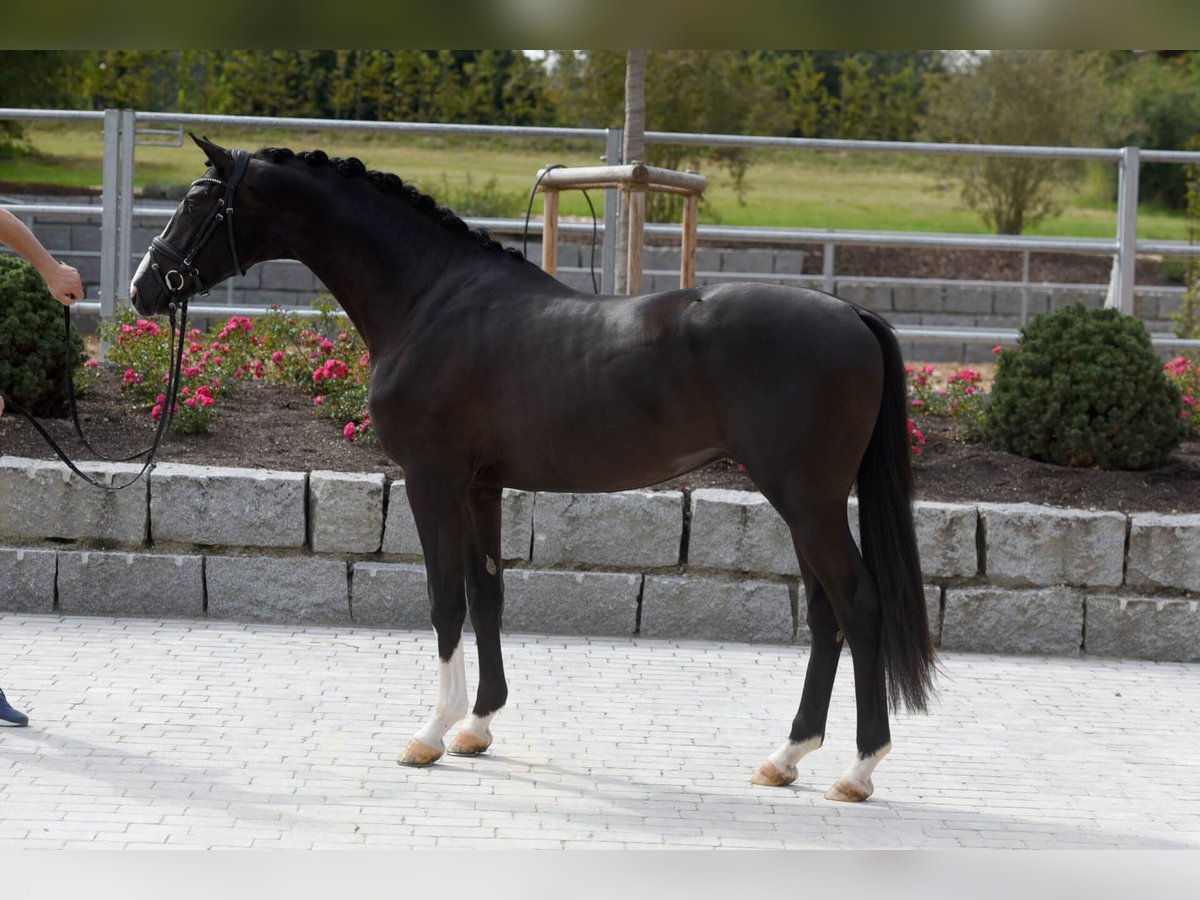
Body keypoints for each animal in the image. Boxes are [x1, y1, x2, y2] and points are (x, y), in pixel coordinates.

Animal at [133, 135, 936, 801]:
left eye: (199, 202)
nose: (145, 288)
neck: (431, 301)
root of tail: (850, 315)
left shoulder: (431, 479)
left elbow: (444, 599)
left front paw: (429, 734)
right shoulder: (482, 486)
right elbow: (487, 594)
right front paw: (477, 726)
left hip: (807, 500)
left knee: (858, 605)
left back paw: (858, 770)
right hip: (803, 504)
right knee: (827, 615)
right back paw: (786, 757)